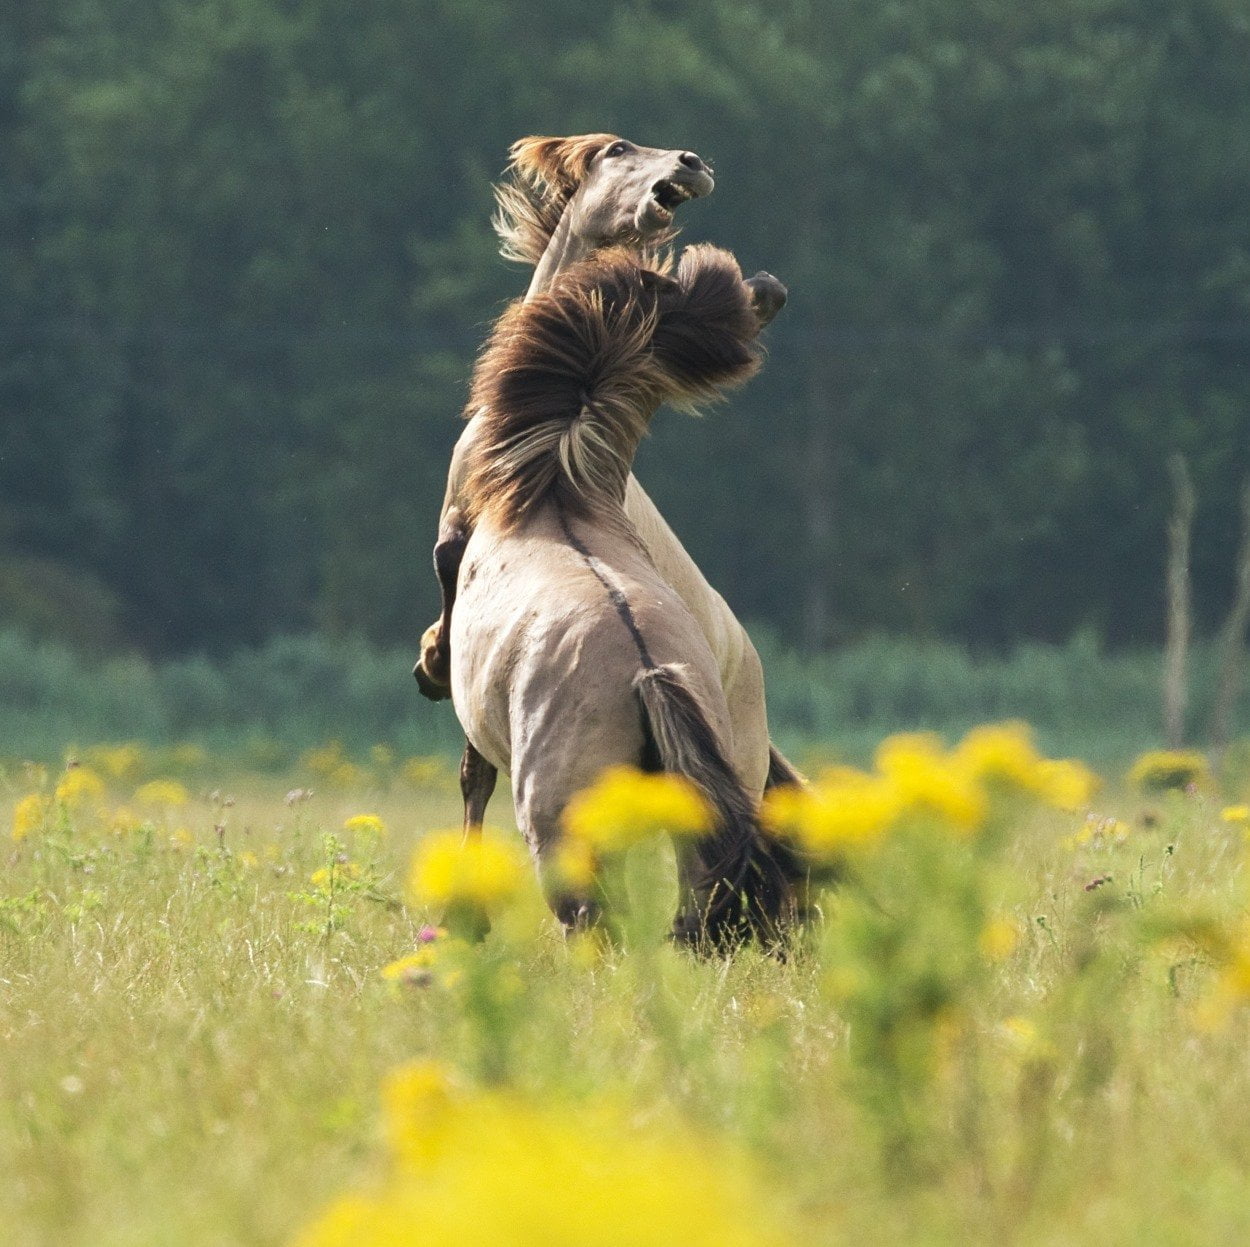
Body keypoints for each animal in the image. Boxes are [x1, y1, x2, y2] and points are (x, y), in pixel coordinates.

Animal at [450, 246, 790, 944]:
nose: (773, 287)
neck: (555, 497)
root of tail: (648, 671)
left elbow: (473, 776)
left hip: (562, 832)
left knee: (592, 921)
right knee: (690, 909)